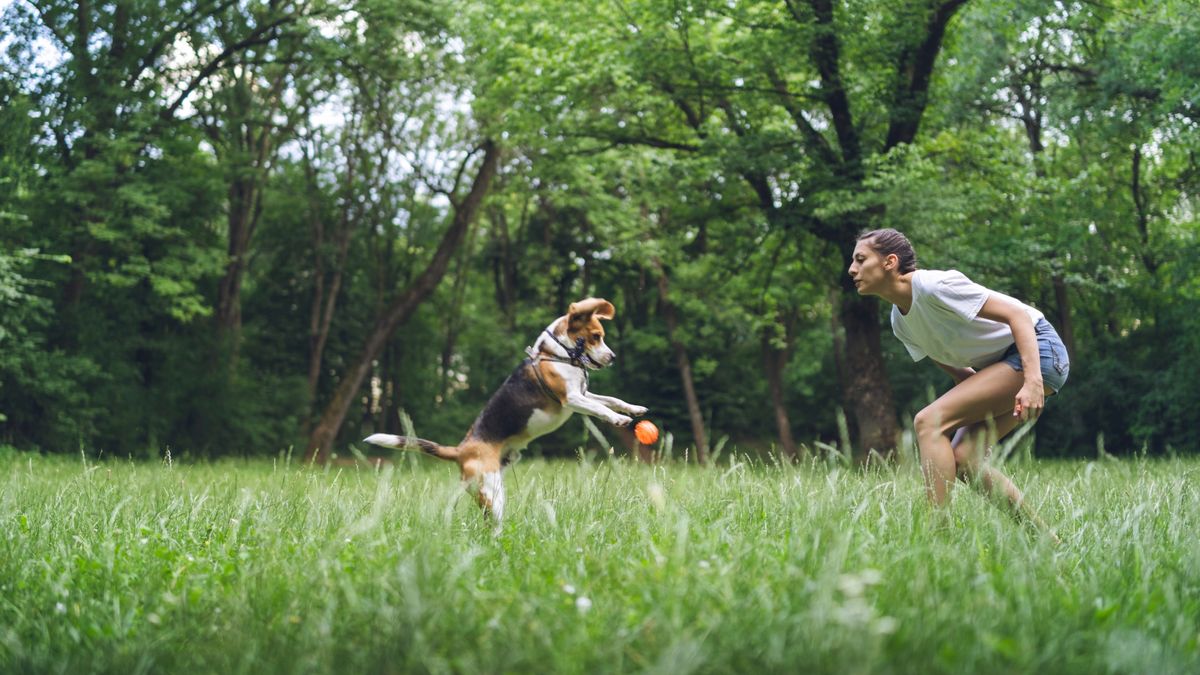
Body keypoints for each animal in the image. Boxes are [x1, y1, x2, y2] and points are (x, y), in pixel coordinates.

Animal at [362, 296, 648, 523]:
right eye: (596, 336)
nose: (612, 357)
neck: (558, 353)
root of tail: (461, 450)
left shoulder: (583, 392)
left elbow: (609, 399)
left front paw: (632, 408)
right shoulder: (572, 398)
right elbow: (599, 408)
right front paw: (618, 419)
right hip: (491, 490)